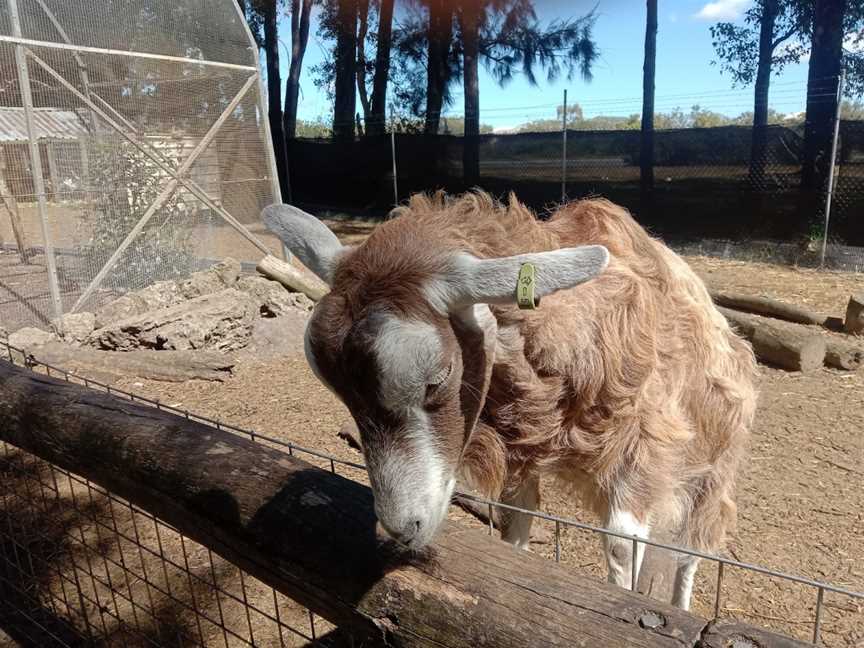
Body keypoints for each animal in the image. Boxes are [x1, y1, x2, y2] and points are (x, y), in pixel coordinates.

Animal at [264, 191, 756, 608]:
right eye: (343, 394)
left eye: (436, 379)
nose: (405, 527)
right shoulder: (523, 455)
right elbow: (514, 524)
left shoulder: (645, 449)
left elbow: (621, 545)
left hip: (715, 464)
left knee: (694, 547)